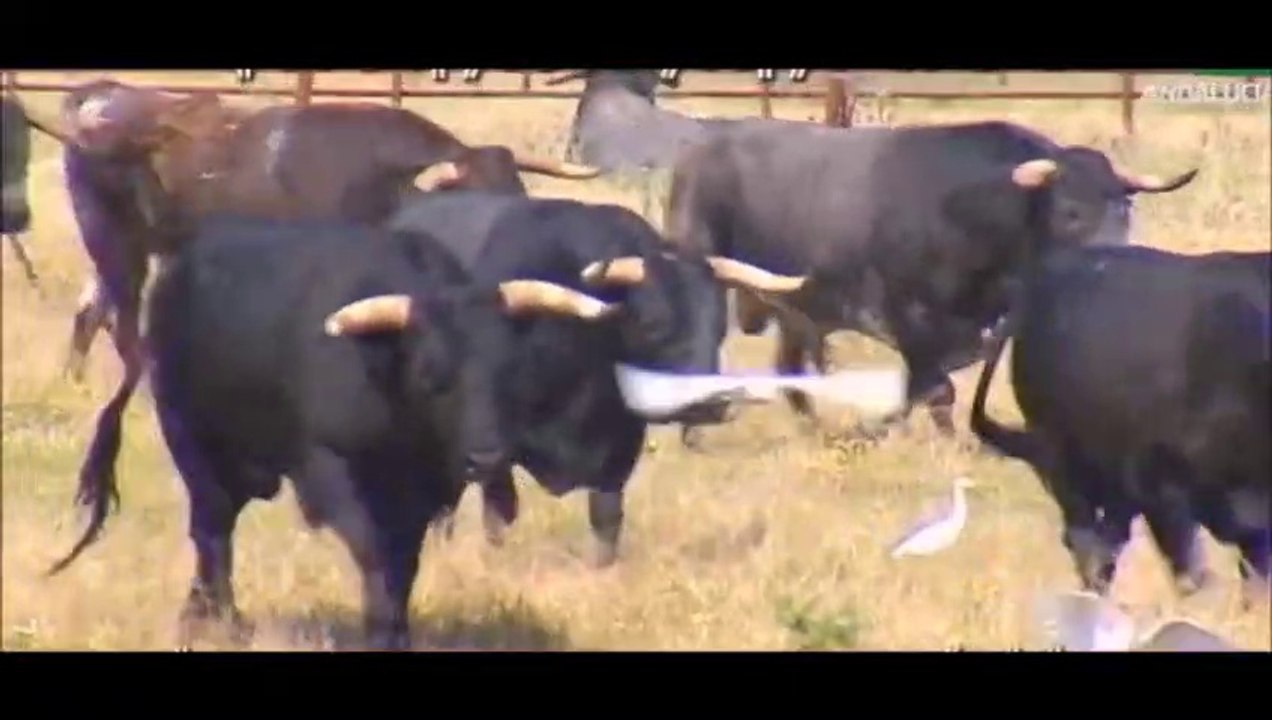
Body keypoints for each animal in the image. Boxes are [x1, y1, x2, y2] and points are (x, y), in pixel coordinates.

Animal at [45, 213, 621, 650]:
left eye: (510, 370)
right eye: (429, 376)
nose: (485, 458)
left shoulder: (423, 493)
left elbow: (403, 564)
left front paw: (397, 634)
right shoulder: (329, 472)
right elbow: (374, 556)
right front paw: (379, 634)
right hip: (193, 441)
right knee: (212, 530)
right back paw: (220, 620)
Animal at [49, 78, 601, 383]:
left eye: (519, 191)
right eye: (478, 199)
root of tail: (101, 98)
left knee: (88, 312)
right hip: (116, 245)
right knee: (120, 324)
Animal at [386, 188, 809, 565]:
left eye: (720, 325)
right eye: (652, 323)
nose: (713, 402)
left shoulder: (620, 448)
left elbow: (606, 519)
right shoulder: (491, 447)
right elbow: (499, 513)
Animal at [662, 120, 1201, 439]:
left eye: (1123, 210)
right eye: (1069, 211)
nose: (1118, 263)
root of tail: (699, 151)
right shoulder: (909, 320)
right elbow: (935, 391)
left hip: (792, 311)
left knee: (791, 368)